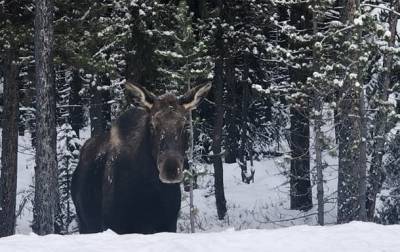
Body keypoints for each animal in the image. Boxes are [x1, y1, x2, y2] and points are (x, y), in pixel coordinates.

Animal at [71, 82, 212, 234]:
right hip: (85, 223)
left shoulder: (168, 224)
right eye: (152, 125)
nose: (171, 170)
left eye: (186, 125)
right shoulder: (114, 225)